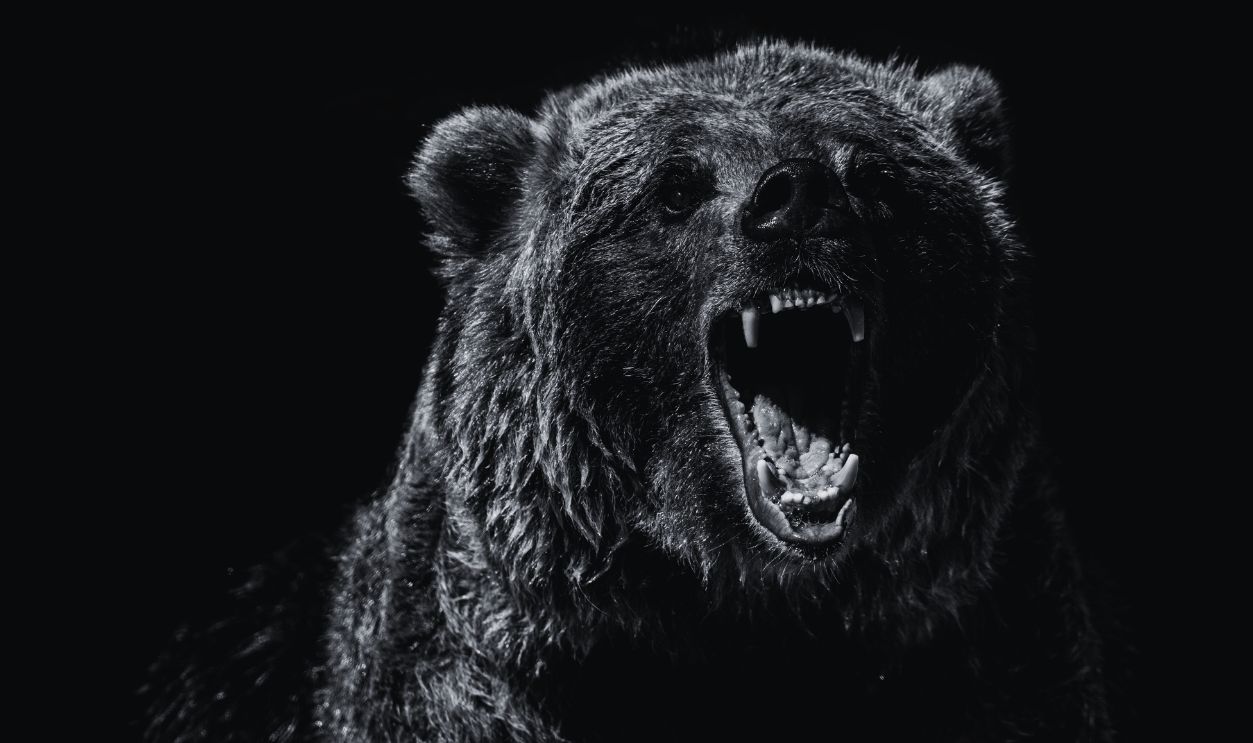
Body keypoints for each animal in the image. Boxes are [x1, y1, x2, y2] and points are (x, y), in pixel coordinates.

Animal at [143, 41, 1112, 742]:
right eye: (675, 185)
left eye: (873, 173)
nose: (796, 196)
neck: (739, 603)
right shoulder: (492, 672)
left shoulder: (977, 640)